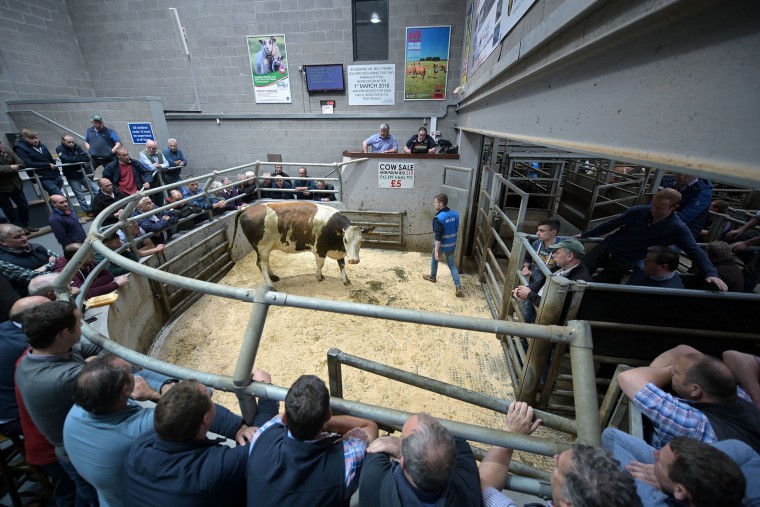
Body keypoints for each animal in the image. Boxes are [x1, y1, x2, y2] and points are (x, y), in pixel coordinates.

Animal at [230, 201, 376, 286]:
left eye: (361, 241)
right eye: (345, 240)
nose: (354, 260)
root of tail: (247, 209)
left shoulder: (339, 251)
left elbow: (341, 264)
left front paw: (345, 280)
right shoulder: (319, 249)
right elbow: (320, 264)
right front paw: (319, 277)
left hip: (264, 248)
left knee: (263, 263)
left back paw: (273, 277)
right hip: (262, 247)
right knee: (262, 264)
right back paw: (269, 284)